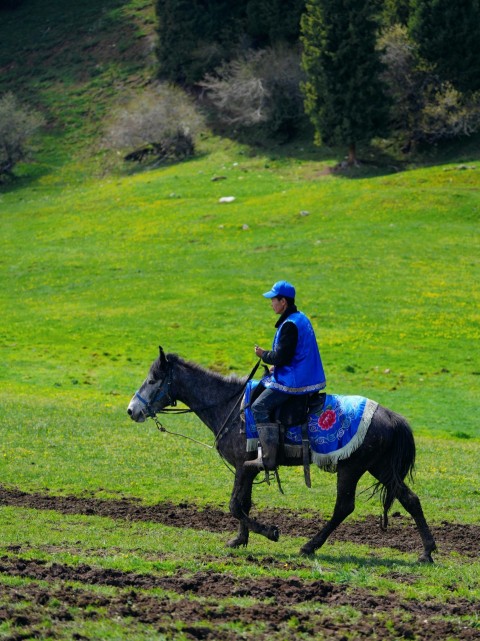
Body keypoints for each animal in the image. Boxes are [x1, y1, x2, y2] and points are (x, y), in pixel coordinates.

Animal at [127, 347, 437, 563]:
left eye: (153, 380)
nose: (132, 410)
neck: (232, 407)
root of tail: (391, 417)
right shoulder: (247, 469)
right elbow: (244, 503)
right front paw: (240, 540)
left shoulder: (245, 466)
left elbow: (235, 505)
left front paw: (269, 532)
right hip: (380, 468)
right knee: (410, 499)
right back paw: (427, 552)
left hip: (352, 468)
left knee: (344, 507)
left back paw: (310, 546)